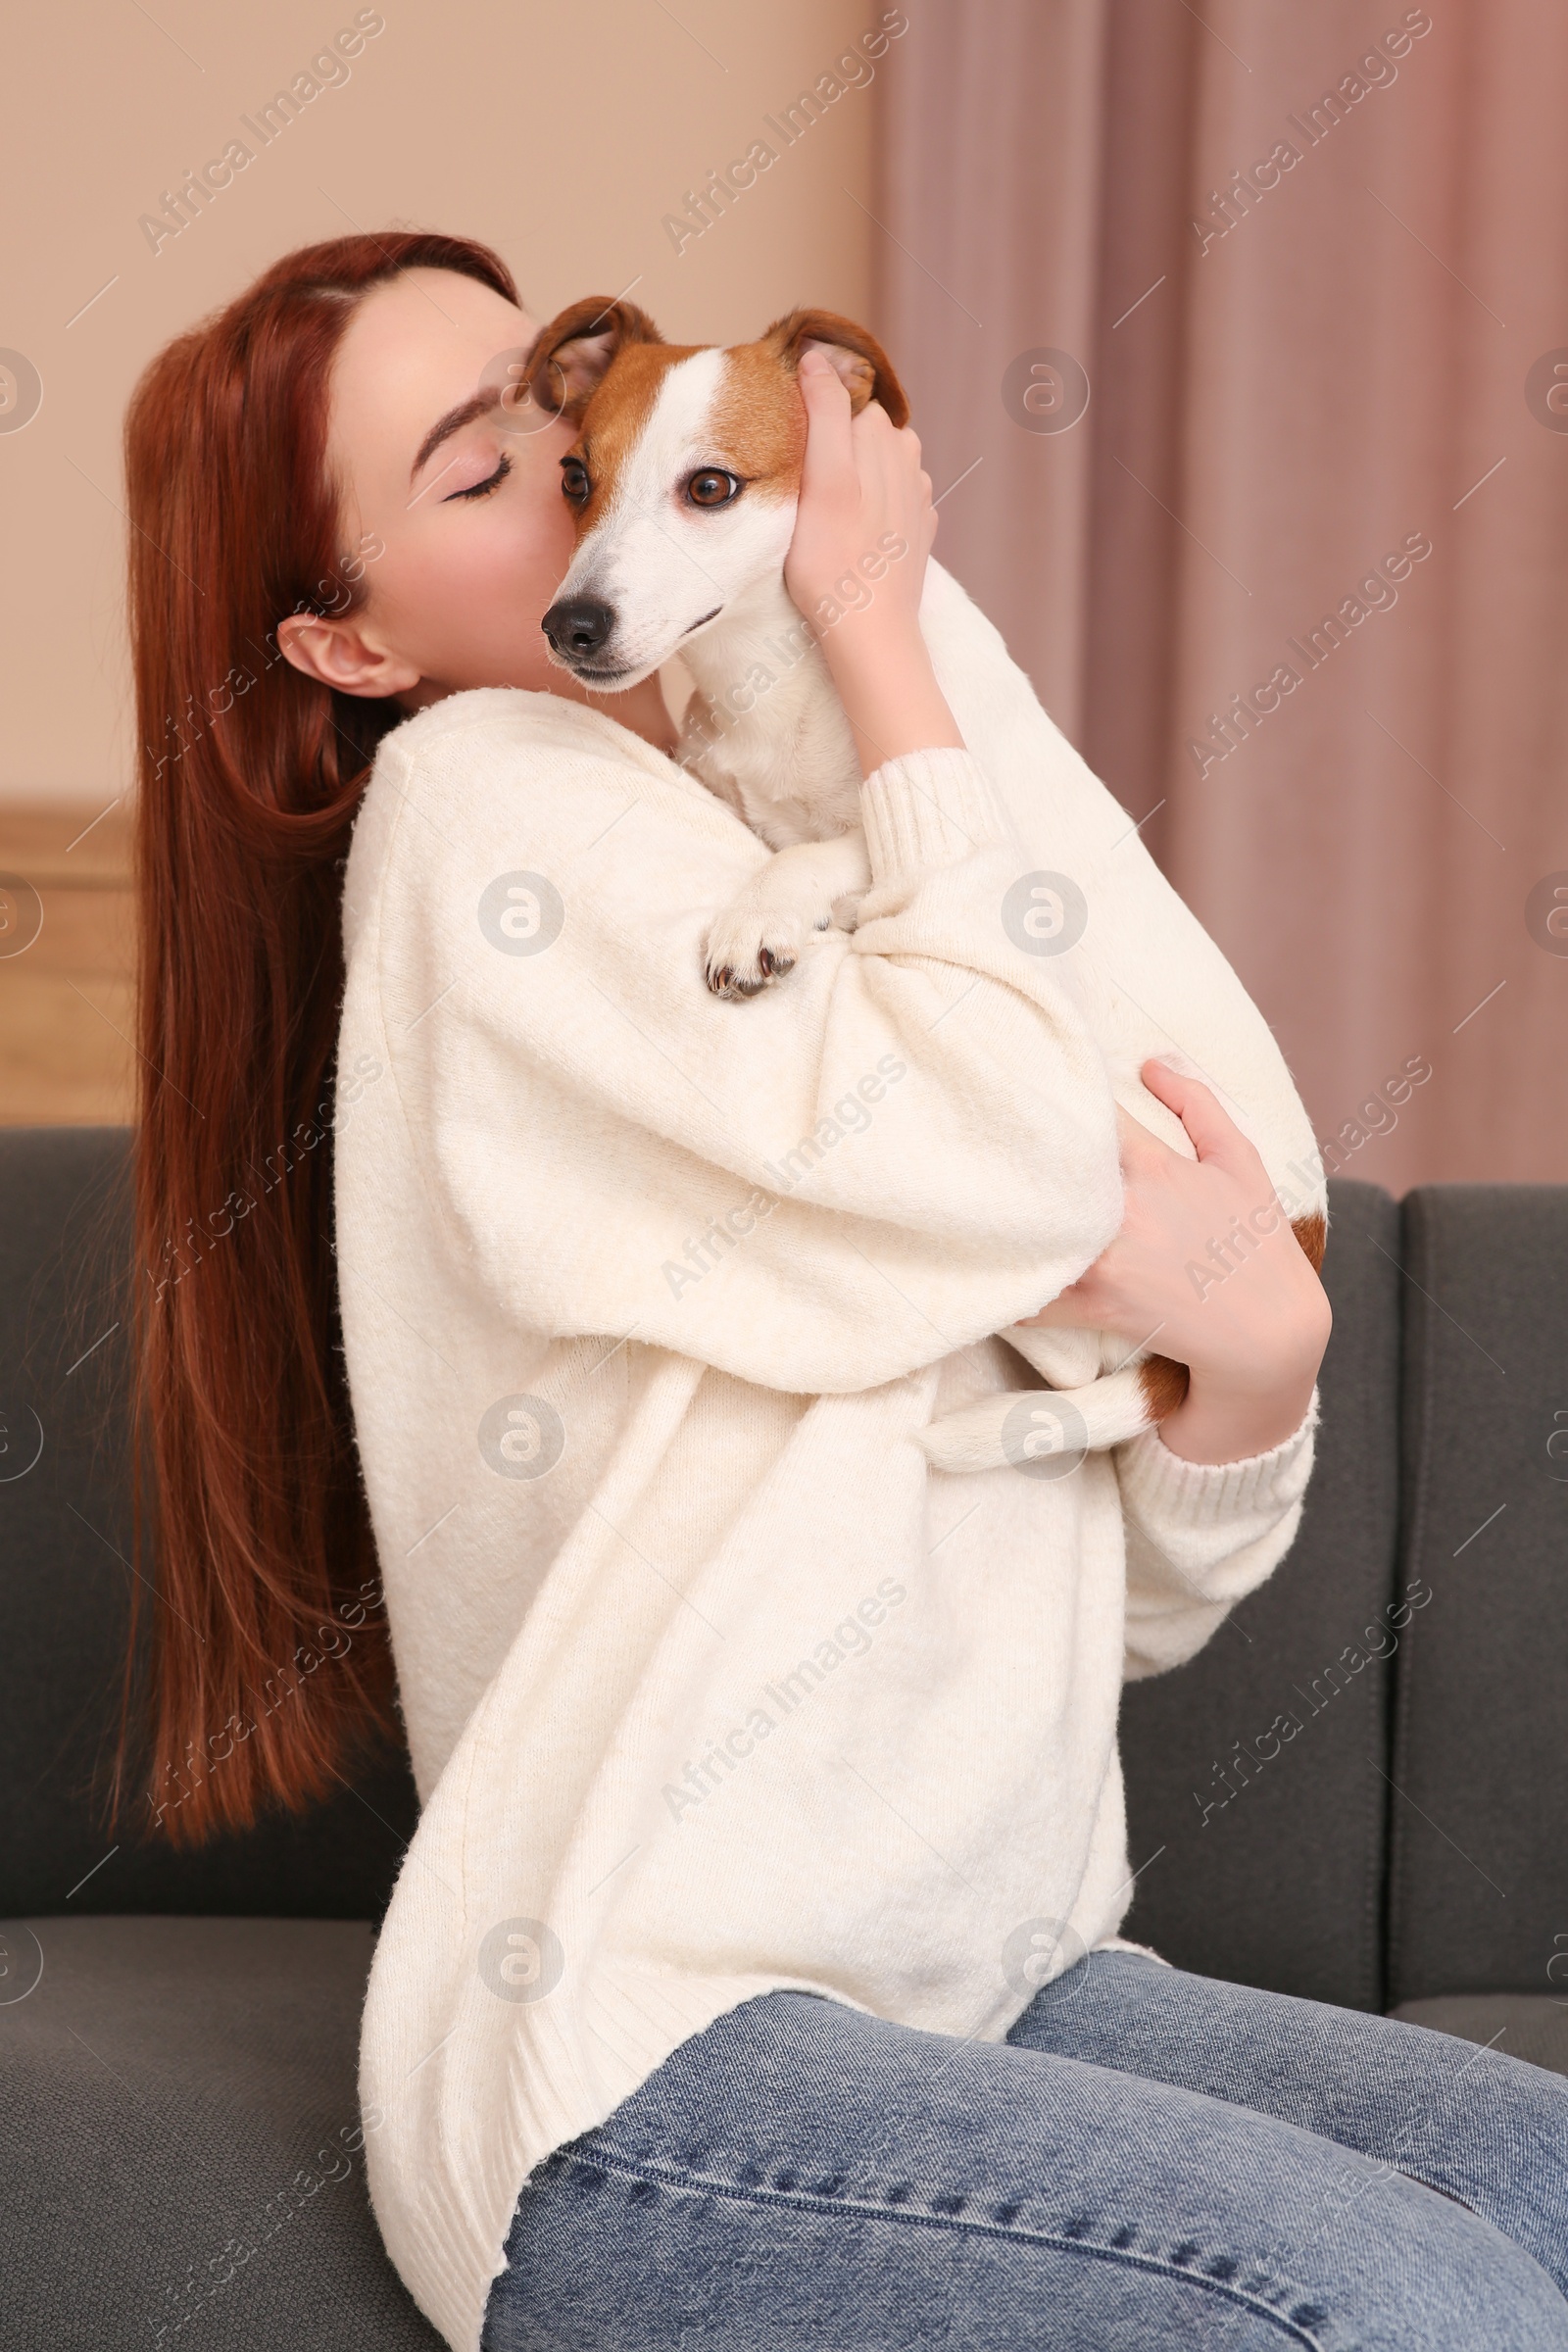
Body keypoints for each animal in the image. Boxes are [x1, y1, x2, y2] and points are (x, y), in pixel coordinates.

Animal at [523, 294, 1325, 1467]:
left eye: (710, 487)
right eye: (575, 477)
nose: (568, 624)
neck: (783, 672)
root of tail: (1302, 1233)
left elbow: (832, 850)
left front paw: (763, 915)